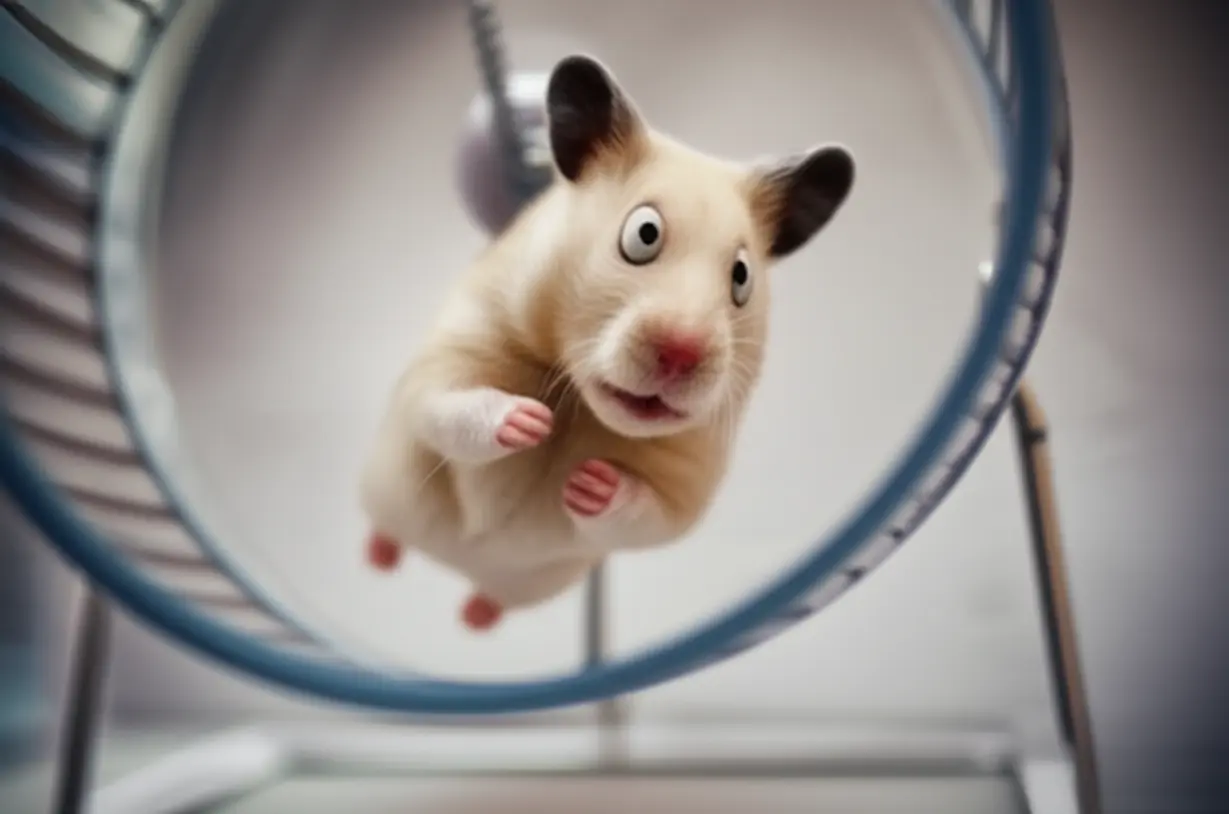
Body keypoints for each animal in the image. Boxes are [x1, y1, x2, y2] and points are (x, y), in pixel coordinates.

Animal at [359, 54, 855, 632]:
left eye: (741, 277)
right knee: (386, 533)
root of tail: (451, 565)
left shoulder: (686, 492)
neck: (579, 403)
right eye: (643, 234)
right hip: (383, 489)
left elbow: (644, 515)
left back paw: (473, 618)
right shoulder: (447, 364)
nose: (682, 351)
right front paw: (527, 422)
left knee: (490, 601)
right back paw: (378, 560)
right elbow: (453, 410)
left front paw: (591, 484)